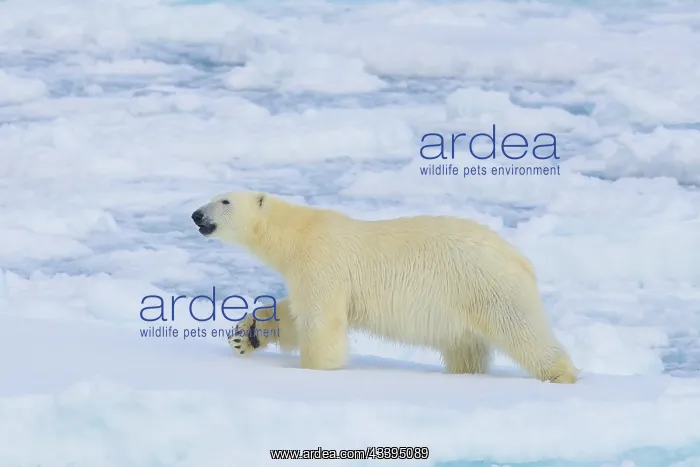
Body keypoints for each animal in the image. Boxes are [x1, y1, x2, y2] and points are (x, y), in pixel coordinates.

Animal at [191, 190, 578, 383]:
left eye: (224, 200)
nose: (196, 214)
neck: (297, 233)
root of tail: (520, 258)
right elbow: (295, 313)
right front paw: (245, 335)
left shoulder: (322, 261)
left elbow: (320, 320)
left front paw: (315, 370)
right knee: (465, 350)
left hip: (488, 287)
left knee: (523, 332)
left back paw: (561, 375)